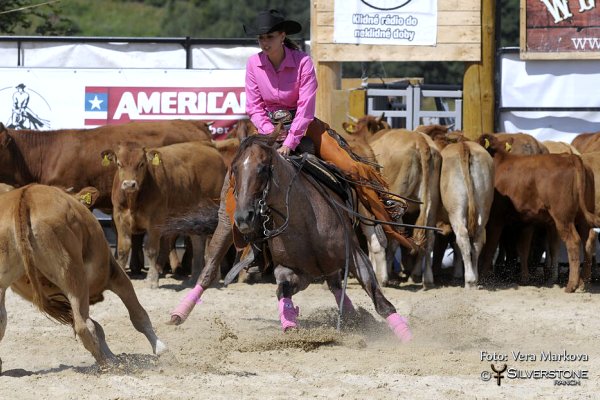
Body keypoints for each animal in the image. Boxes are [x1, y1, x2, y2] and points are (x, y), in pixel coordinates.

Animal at [0, 184, 166, 372]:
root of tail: (25, 198)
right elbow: (138, 315)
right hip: (72, 277)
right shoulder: (115, 274)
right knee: (84, 326)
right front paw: (160, 349)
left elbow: (100, 329)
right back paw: (106, 364)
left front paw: (114, 356)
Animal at [102, 141, 226, 288]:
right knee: (198, 243)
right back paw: (195, 277)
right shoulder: (119, 217)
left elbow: (151, 250)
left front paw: (152, 280)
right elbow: (123, 249)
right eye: (119, 163)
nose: (129, 184)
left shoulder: (155, 220)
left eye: (141, 164)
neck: (133, 200)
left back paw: (215, 279)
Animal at [169, 130, 412, 340]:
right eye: (235, 169)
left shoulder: (353, 255)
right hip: (226, 222)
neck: (305, 221)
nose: (244, 217)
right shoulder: (293, 271)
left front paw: (406, 336)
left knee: (336, 282)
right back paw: (179, 313)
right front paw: (290, 323)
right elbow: (282, 291)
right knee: (208, 271)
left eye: (263, 168)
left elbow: (379, 299)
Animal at [476, 133, 596, 292]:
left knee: (573, 242)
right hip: (581, 218)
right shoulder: (524, 220)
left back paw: (571, 285)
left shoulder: (496, 218)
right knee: (587, 241)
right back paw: (581, 282)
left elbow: (490, 246)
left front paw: (484, 276)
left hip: (563, 217)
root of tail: (570, 157)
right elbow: (521, 247)